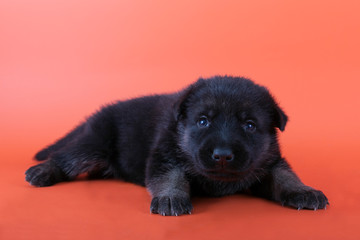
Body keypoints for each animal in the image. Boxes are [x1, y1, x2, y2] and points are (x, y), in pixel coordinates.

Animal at [25, 75, 330, 216]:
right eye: (203, 121)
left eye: (250, 125)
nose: (222, 155)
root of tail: (96, 114)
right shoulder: (165, 154)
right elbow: (171, 176)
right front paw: (171, 196)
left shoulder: (268, 161)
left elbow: (284, 175)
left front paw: (303, 190)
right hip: (95, 142)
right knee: (67, 157)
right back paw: (42, 171)